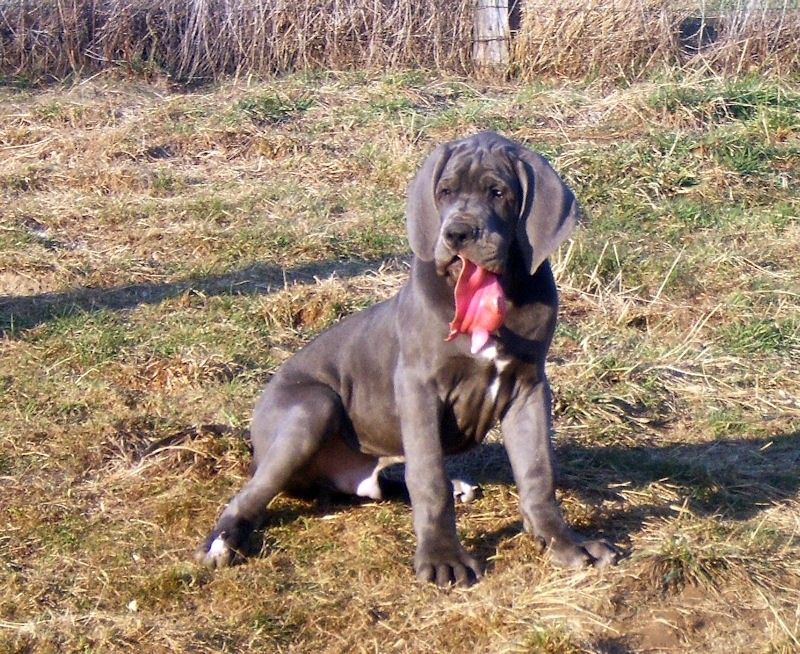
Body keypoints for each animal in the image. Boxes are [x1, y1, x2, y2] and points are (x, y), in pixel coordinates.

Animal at [197, 131, 619, 586]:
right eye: (445, 191)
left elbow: (538, 471)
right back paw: (222, 543)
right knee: (250, 493)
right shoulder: (419, 386)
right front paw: (442, 557)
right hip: (312, 406)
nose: (457, 234)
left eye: (498, 192)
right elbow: (428, 476)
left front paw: (565, 543)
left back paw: (455, 486)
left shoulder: (528, 386)